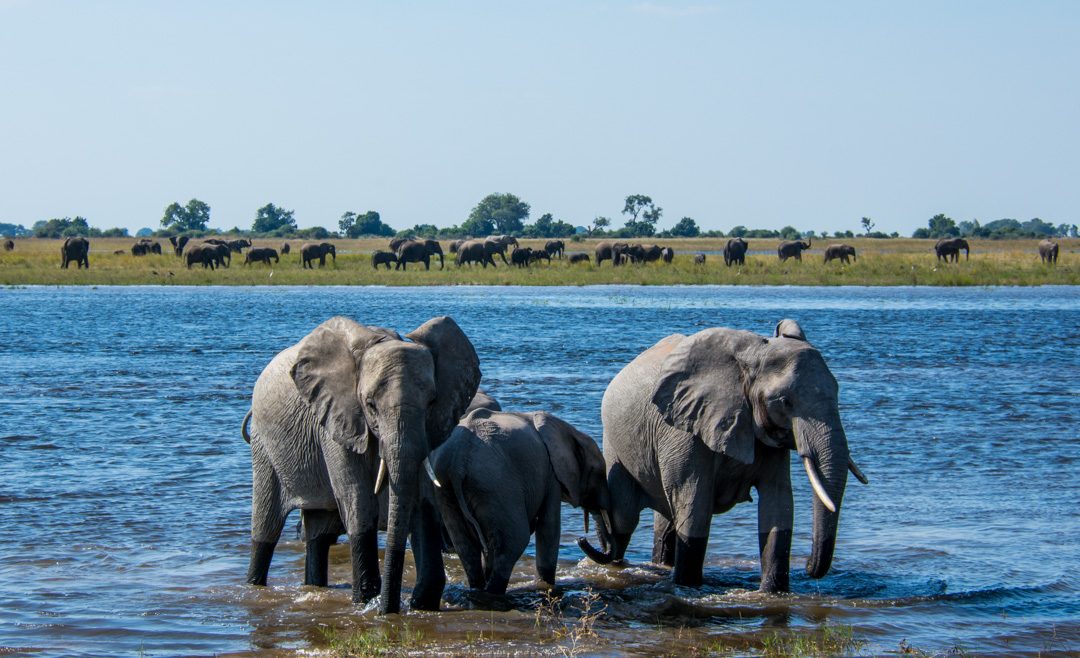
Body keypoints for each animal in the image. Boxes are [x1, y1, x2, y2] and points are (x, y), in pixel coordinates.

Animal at [242, 315, 480, 614]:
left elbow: (422, 498)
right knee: (266, 529)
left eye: (432, 402)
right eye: (369, 404)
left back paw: (314, 586)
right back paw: (254, 585)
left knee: (319, 534)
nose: (389, 609)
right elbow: (357, 497)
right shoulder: (336, 419)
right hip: (263, 447)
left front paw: (420, 603)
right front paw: (366, 601)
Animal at [431, 409, 611, 596]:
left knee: (466, 547)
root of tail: (458, 463)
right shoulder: (550, 474)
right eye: (598, 473)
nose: (581, 539)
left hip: (448, 489)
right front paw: (545, 585)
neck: (569, 431)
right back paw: (494, 592)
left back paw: (478, 588)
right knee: (513, 542)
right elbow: (549, 526)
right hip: (495, 483)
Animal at [578, 319, 867, 594]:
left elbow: (779, 503)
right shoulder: (685, 428)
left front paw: (773, 593)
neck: (751, 359)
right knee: (625, 519)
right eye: (785, 401)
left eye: (837, 391)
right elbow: (695, 503)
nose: (808, 567)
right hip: (615, 444)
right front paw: (687, 587)